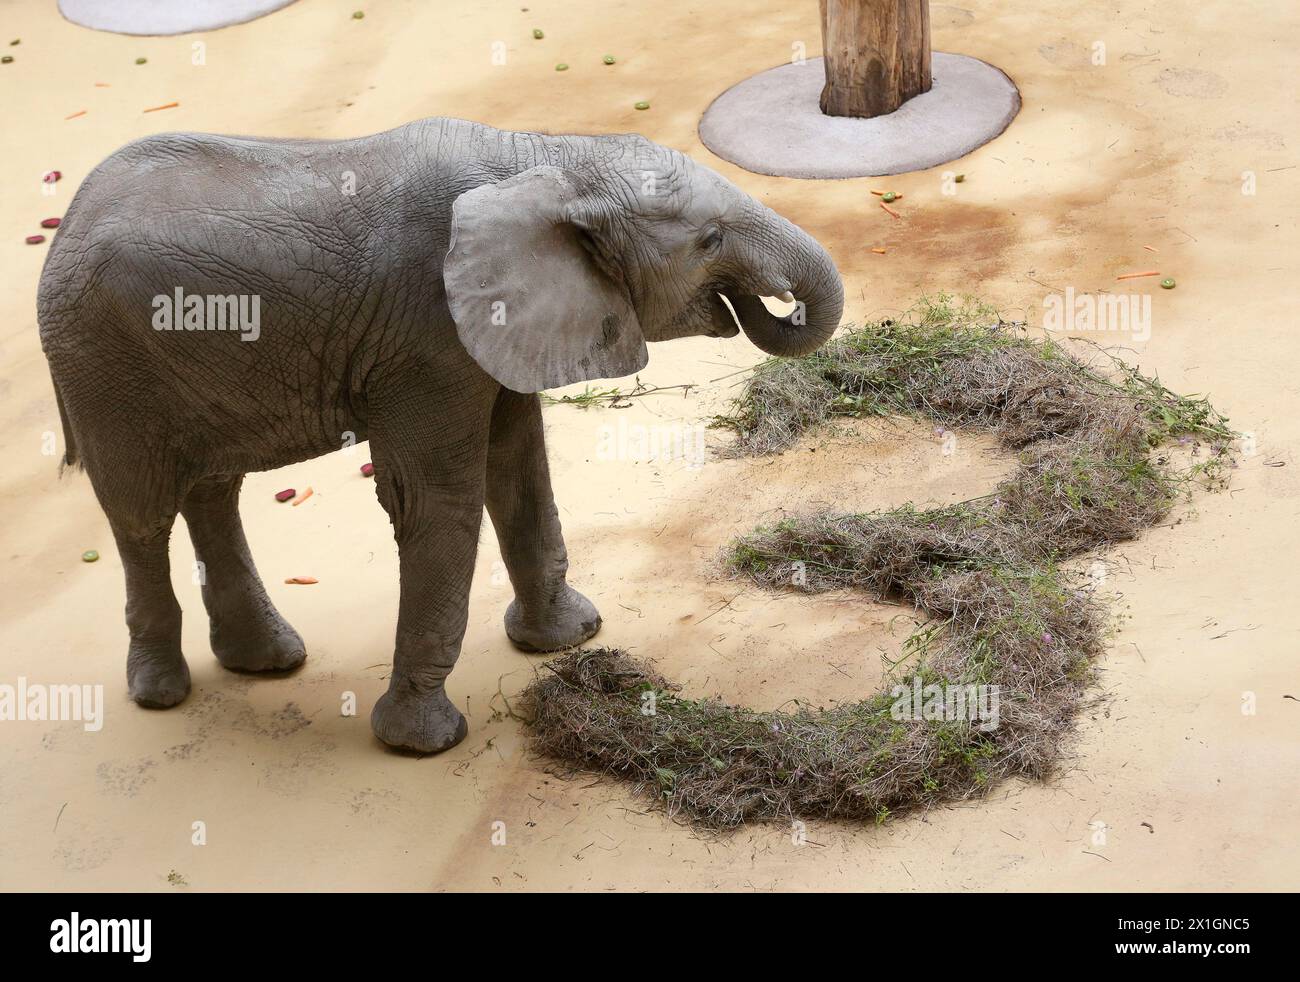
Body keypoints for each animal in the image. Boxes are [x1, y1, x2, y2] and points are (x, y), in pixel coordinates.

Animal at [38, 119, 842, 754]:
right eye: (709, 239)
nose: (768, 302)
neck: (548, 159)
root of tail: (65, 221)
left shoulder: (496, 323)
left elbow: (517, 468)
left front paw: (569, 637)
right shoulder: (427, 339)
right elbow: (435, 499)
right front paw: (424, 741)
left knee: (213, 489)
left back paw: (264, 661)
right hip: (103, 363)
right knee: (142, 513)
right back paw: (162, 692)